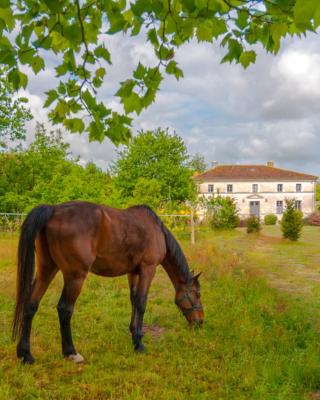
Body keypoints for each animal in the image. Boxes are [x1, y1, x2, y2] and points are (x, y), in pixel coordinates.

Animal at [12, 202, 204, 364]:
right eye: (197, 294)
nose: (200, 321)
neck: (157, 231)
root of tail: (53, 210)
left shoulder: (133, 273)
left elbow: (134, 301)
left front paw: (134, 335)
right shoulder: (148, 269)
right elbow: (142, 303)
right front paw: (139, 344)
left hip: (47, 270)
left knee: (30, 305)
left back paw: (25, 354)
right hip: (75, 276)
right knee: (64, 309)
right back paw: (71, 352)